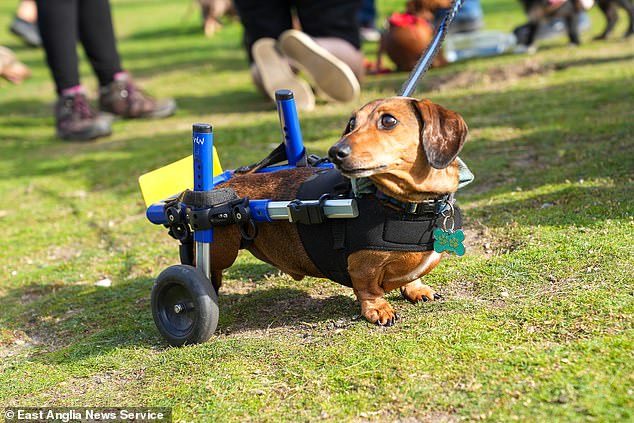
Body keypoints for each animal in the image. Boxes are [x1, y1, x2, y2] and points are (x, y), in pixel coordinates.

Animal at [210, 97, 466, 328]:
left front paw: (416, 289)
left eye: (388, 120)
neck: (409, 206)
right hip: (222, 250)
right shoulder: (363, 268)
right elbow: (368, 289)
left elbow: (413, 278)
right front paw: (378, 309)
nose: (334, 152)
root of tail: (221, 186)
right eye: (351, 124)